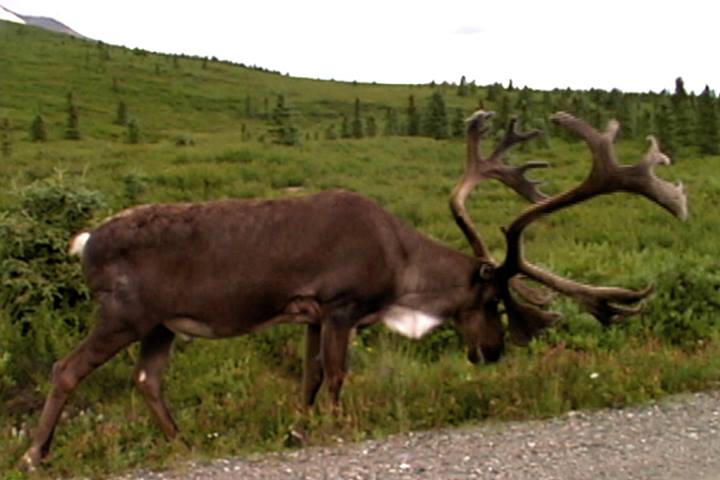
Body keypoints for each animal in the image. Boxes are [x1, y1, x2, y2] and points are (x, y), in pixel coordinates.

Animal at [21, 110, 687, 470]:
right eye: (491, 301)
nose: (492, 352)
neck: (399, 266)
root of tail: (85, 239)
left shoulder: (311, 315)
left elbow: (310, 376)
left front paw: (296, 431)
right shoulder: (339, 307)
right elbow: (338, 377)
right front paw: (334, 430)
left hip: (162, 325)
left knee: (147, 379)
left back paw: (184, 446)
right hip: (124, 315)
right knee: (65, 369)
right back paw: (35, 454)